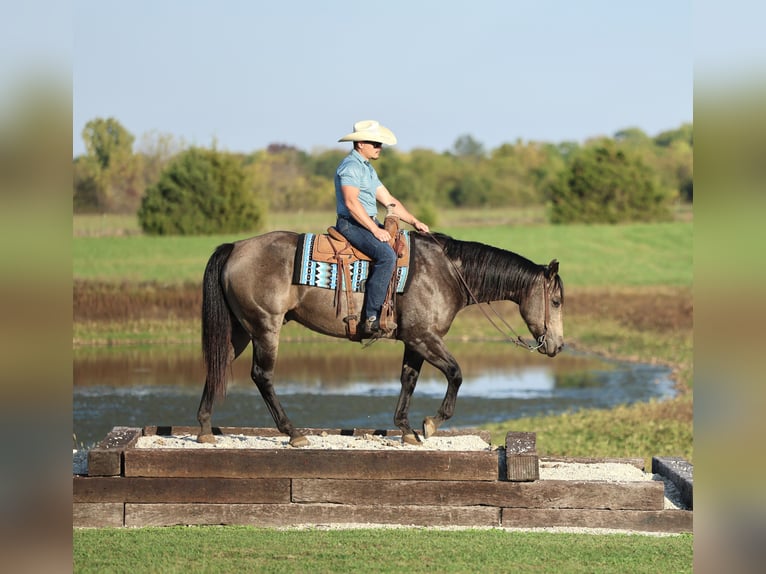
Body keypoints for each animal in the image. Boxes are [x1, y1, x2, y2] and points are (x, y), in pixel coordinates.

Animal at [196, 230, 564, 447]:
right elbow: (456, 374)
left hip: (239, 331)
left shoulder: (414, 341)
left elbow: (408, 380)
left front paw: (406, 429)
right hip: (264, 328)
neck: (446, 272)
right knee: (262, 376)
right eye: (557, 301)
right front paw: (430, 423)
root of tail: (235, 247)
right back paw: (293, 433)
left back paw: (204, 429)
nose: (558, 346)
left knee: (217, 365)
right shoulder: (424, 337)